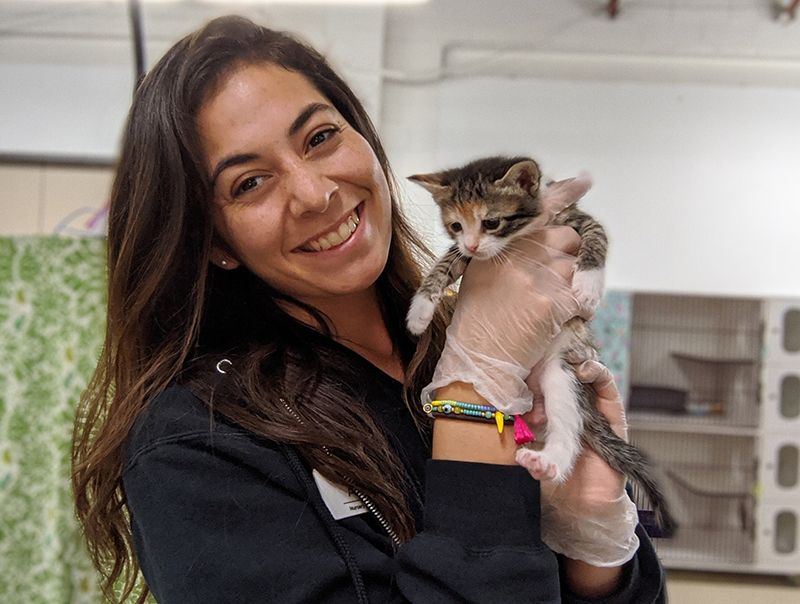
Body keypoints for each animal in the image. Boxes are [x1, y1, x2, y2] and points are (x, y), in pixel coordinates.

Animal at [406, 157, 676, 536]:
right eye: (456, 225)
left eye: (491, 222)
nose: (472, 245)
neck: (523, 233)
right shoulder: (466, 254)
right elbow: (446, 262)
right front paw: (420, 309)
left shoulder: (574, 219)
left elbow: (597, 236)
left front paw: (587, 285)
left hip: (562, 372)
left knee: (569, 427)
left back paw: (549, 462)